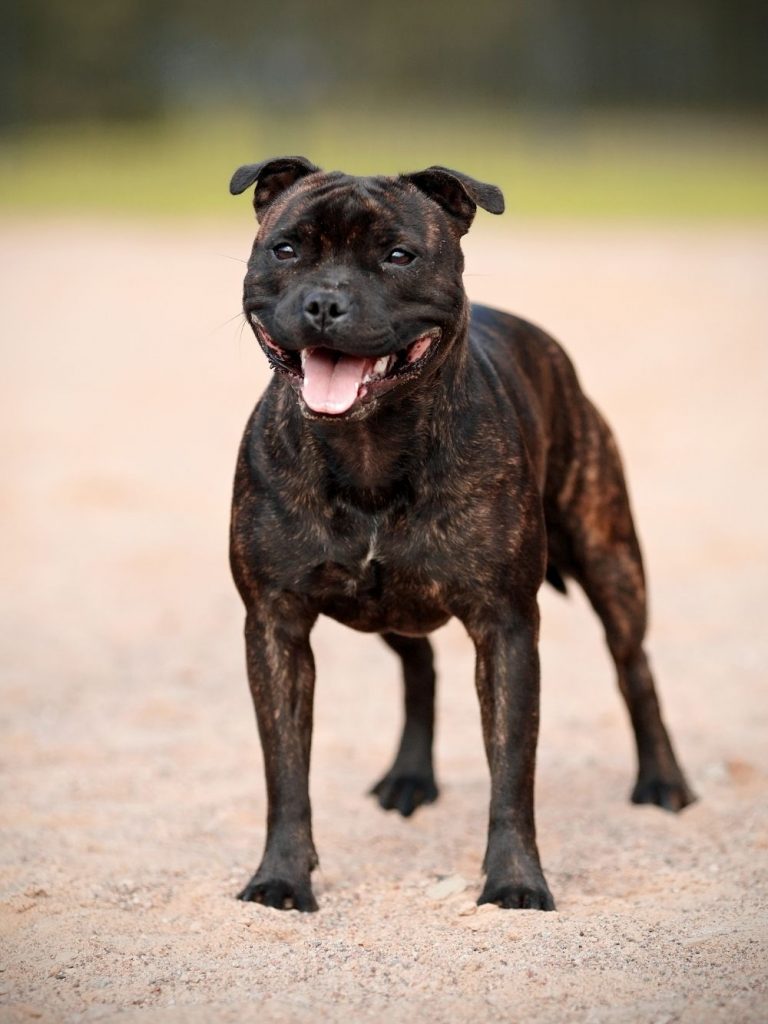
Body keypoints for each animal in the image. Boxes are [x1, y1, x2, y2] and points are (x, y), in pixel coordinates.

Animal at [228, 159, 696, 913]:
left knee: (635, 668)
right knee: (419, 668)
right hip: (391, 606)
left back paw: (662, 783)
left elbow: (511, 771)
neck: (368, 450)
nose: (324, 303)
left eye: (399, 256)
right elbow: (286, 771)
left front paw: (516, 880)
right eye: (287, 249)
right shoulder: (274, 627)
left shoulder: (506, 628)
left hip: (613, 564)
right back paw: (409, 777)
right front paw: (281, 877)